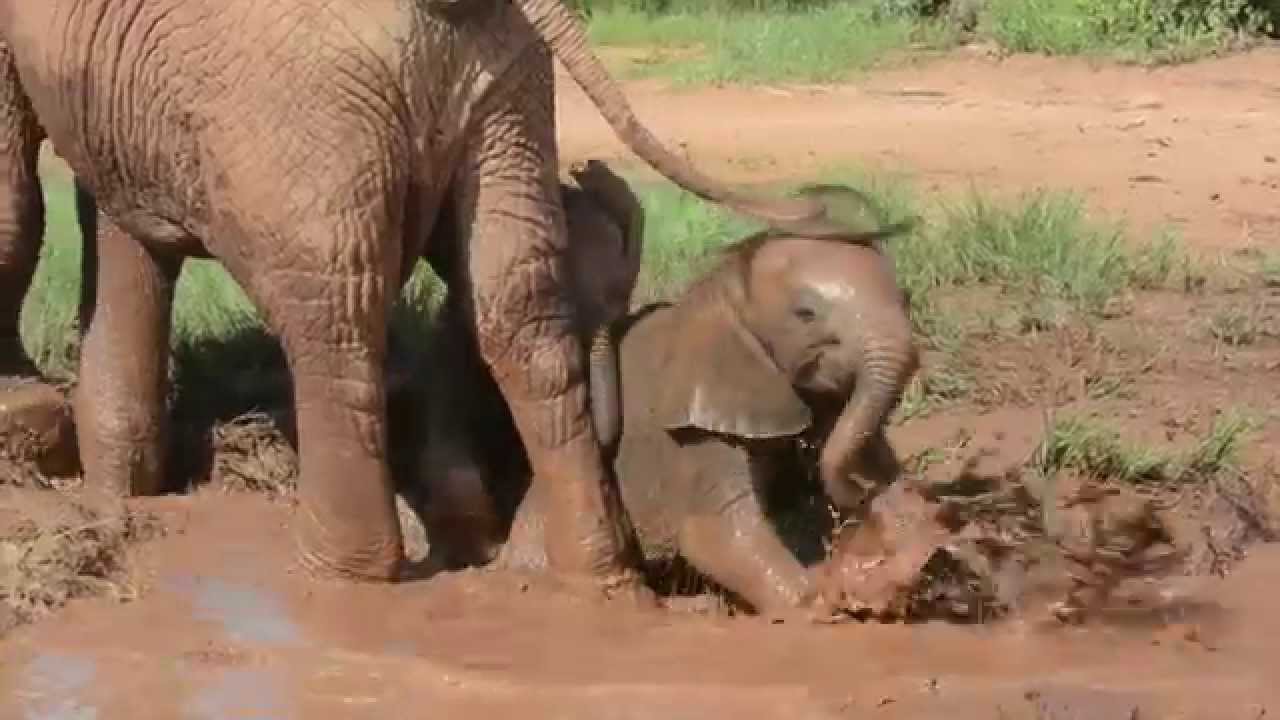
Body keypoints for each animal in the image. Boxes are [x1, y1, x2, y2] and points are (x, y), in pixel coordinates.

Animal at [0, 0, 870, 589]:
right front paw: (113, 490)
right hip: (504, 90)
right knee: (516, 305)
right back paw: (587, 574)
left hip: (307, 102)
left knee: (334, 311)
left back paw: (340, 573)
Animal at [457, 219, 921, 617]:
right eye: (805, 314)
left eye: (905, 298)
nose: (858, 508)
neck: (722, 287)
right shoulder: (693, 432)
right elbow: (713, 535)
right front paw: (823, 602)